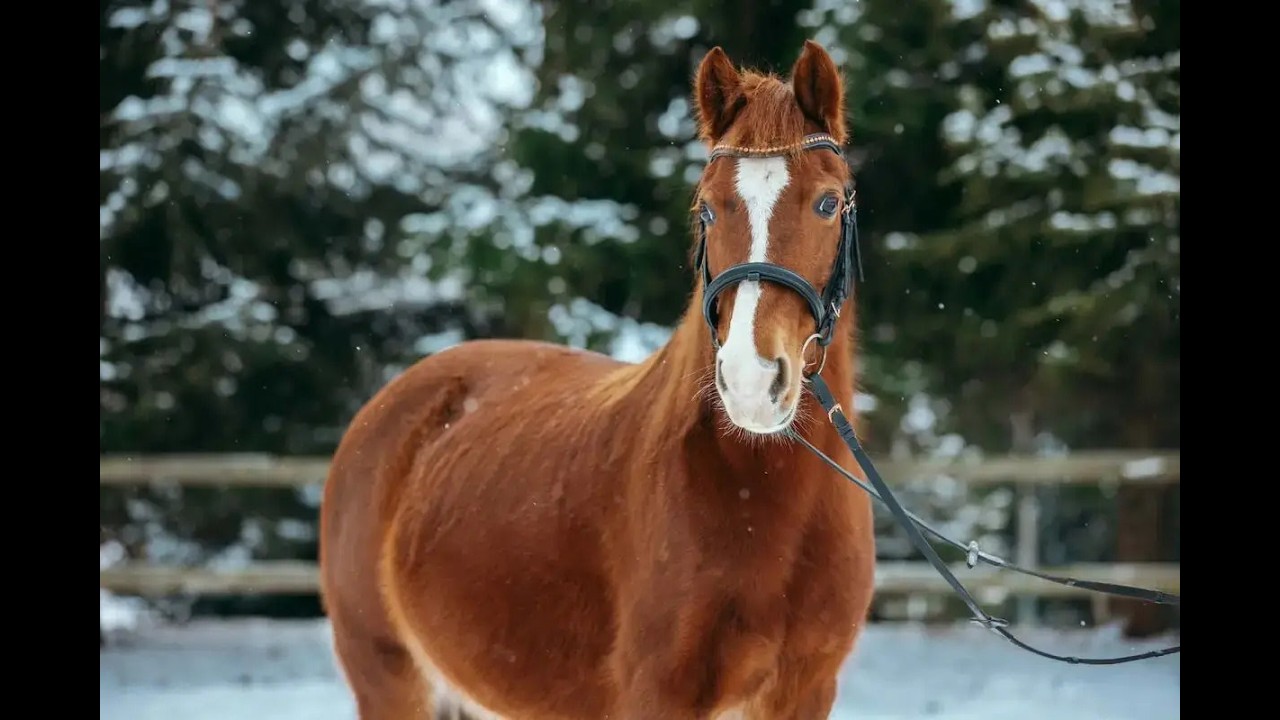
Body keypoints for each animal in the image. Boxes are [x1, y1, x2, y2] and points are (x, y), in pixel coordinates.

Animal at [319, 39, 875, 720]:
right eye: (707, 208)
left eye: (828, 202)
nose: (751, 380)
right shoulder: (655, 693)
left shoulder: (804, 692)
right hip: (389, 679)